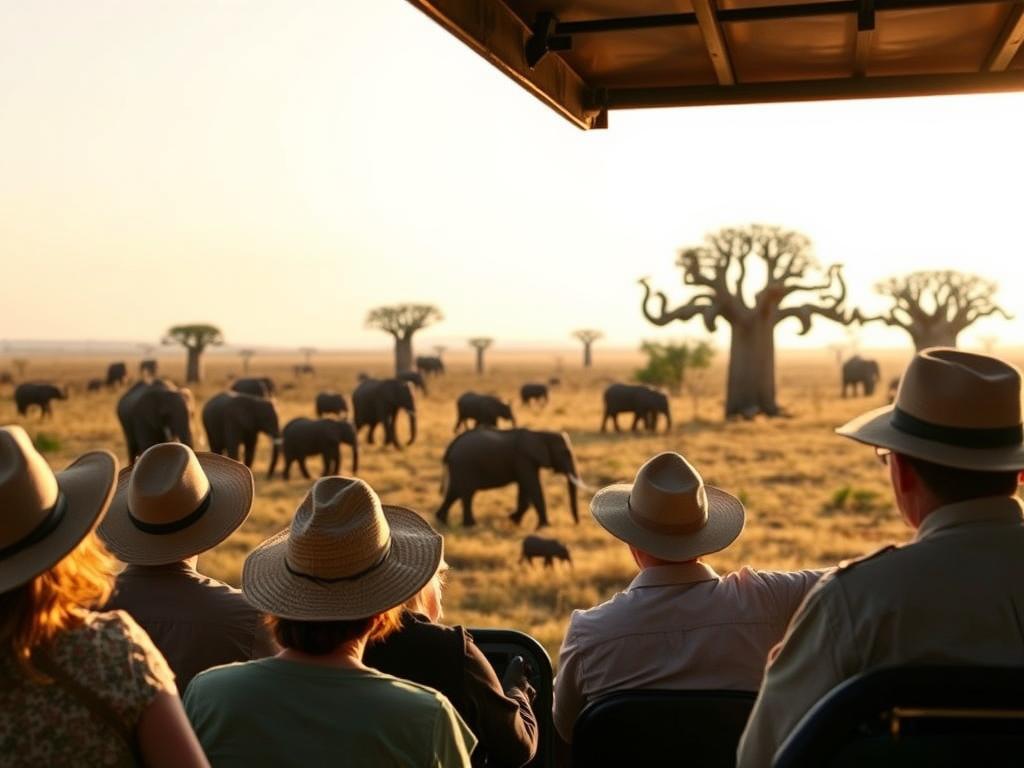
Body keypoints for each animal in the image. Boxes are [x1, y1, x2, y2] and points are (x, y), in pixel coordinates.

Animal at [437, 428, 580, 528]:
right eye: (565, 453)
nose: (576, 524)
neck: (540, 434)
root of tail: (451, 447)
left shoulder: (526, 462)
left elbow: (525, 489)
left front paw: (514, 520)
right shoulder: (524, 459)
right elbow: (532, 486)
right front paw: (544, 527)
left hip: (458, 468)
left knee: (454, 492)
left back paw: (442, 521)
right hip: (464, 466)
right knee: (467, 494)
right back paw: (471, 526)